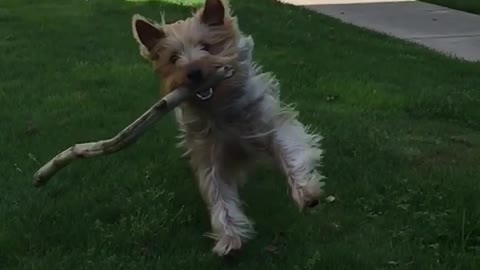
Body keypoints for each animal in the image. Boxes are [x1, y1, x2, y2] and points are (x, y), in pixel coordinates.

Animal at [131, 0, 326, 258]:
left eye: (207, 46)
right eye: (173, 58)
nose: (194, 71)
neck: (220, 107)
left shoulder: (269, 123)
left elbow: (289, 151)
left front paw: (306, 193)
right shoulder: (209, 152)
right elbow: (219, 194)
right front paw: (230, 237)